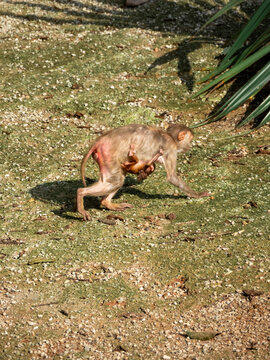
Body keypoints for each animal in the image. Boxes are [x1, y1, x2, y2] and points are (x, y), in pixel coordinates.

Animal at [77, 124, 210, 219]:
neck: (170, 136)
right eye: (190, 140)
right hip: (108, 154)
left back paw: (107, 203)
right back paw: (81, 193)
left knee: (118, 178)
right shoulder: (170, 148)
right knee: (116, 180)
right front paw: (198, 194)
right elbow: (172, 177)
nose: (190, 146)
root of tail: (99, 141)